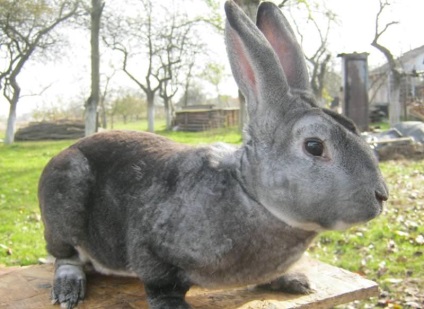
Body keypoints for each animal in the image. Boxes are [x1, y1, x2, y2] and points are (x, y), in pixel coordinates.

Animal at [38, 1, 390, 306]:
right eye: (314, 146)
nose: (381, 196)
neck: (251, 196)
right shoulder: (148, 244)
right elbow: (158, 282)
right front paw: (172, 304)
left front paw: (294, 281)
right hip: (66, 196)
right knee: (65, 256)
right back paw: (68, 288)